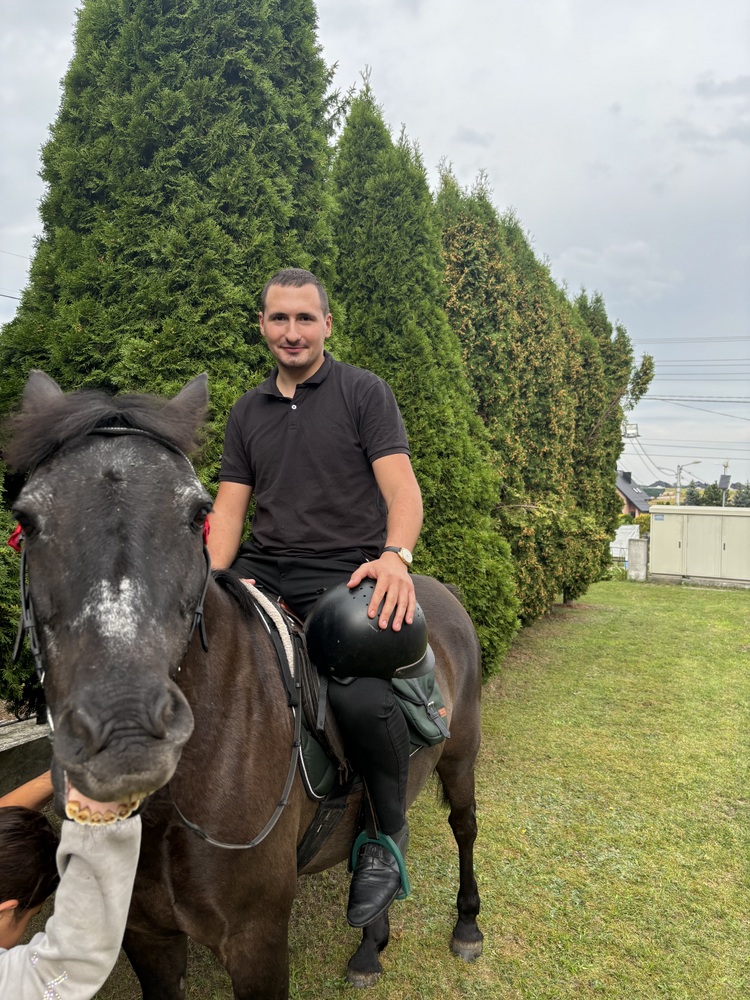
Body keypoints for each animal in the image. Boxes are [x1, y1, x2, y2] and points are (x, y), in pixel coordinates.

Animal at [5, 370, 484, 999]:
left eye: (195, 513)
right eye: (27, 518)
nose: (125, 733)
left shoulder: (256, 940)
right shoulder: (147, 937)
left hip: (460, 756)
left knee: (463, 827)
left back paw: (467, 924)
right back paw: (369, 943)